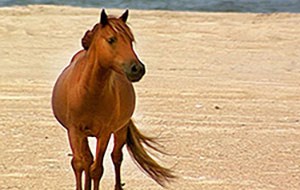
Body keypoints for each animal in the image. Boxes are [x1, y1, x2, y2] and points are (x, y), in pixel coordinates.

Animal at [51, 10, 173, 190]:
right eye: (111, 39)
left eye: (130, 40)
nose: (137, 69)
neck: (89, 93)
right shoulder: (74, 131)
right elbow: (79, 164)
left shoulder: (105, 133)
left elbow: (97, 169)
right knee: (87, 160)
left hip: (120, 130)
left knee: (116, 157)